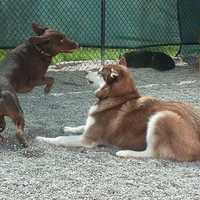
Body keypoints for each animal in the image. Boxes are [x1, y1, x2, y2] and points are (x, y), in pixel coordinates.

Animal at [36, 63, 200, 161]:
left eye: (100, 72)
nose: (85, 72)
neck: (117, 97)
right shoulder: (89, 128)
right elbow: (80, 126)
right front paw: (69, 127)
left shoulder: (87, 139)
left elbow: (60, 138)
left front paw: (43, 138)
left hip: (161, 117)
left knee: (152, 153)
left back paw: (124, 153)